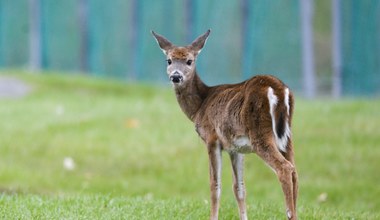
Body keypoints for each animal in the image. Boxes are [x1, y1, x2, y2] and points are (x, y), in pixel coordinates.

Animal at [151, 29, 296, 220]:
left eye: (189, 61)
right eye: (169, 60)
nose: (175, 76)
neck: (200, 106)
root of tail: (278, 90)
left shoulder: (212, 138)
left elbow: (214, 185)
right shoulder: (236, 147)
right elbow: (239, 188)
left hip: (260, 134)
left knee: (285, 168)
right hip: (286, 136)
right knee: (295, 170)